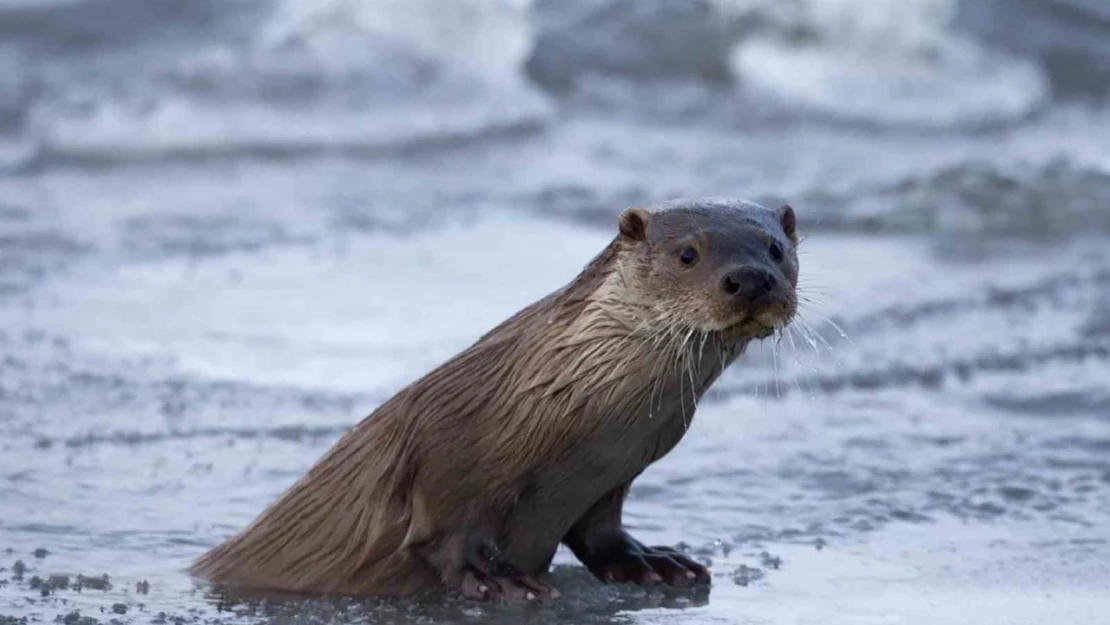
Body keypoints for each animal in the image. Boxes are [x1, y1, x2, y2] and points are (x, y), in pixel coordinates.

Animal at [190, 197, 799, 603]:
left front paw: (652, 562)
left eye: (776, 248)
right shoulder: (444, 452)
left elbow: (601, 531)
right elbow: (447, 534)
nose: (751, 278)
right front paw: (497, 579)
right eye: (688, 254)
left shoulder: (612, 476)